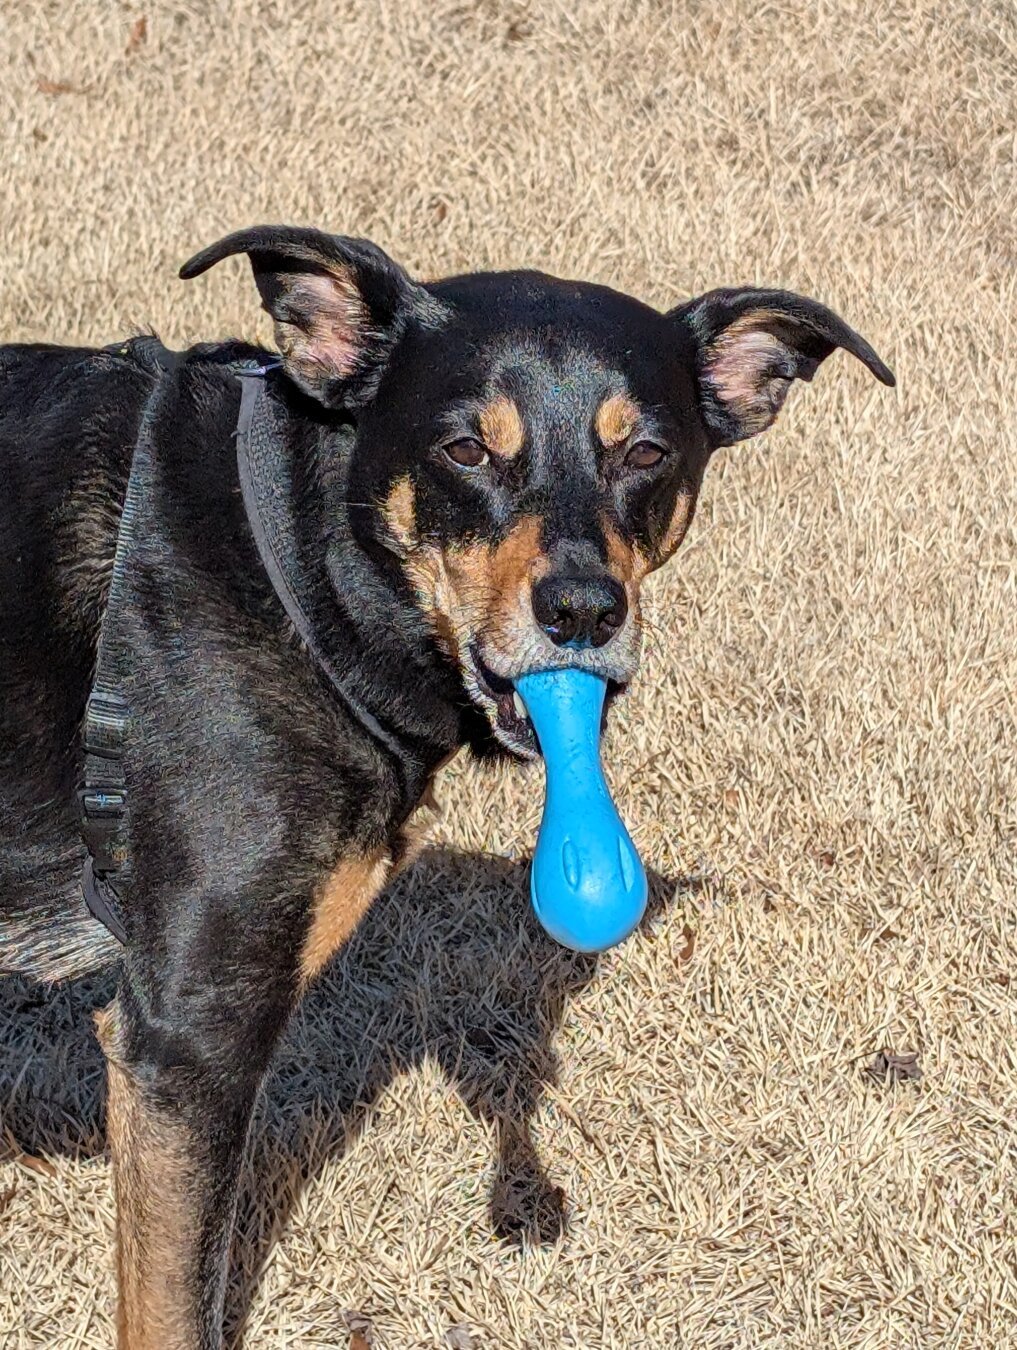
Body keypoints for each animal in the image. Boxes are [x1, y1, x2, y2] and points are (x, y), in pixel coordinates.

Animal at [0, 226, 885, 1344]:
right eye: (466, 451)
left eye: (646, 454)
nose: (583, 613)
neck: (297, 566)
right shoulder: (185, 1044)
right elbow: (176, 1306)